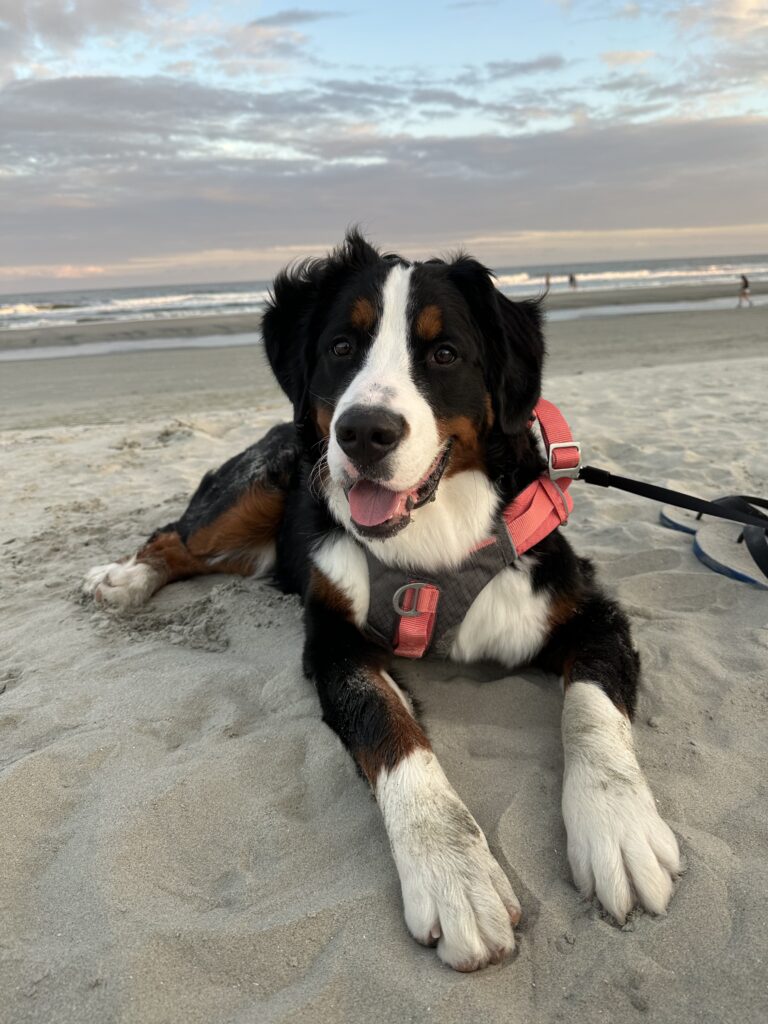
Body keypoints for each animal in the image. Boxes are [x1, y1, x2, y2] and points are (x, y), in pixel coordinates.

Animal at [83, 228, 684, 970]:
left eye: (445, 353)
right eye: (343, 346)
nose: (364, 432)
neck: (435, 542)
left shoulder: (587, 611)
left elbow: (592, 712)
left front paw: (618, 830)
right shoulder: (337, 643)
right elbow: (391, 733)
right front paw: (454, 875)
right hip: (262, 480)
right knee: (176, 535)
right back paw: (123, 579)